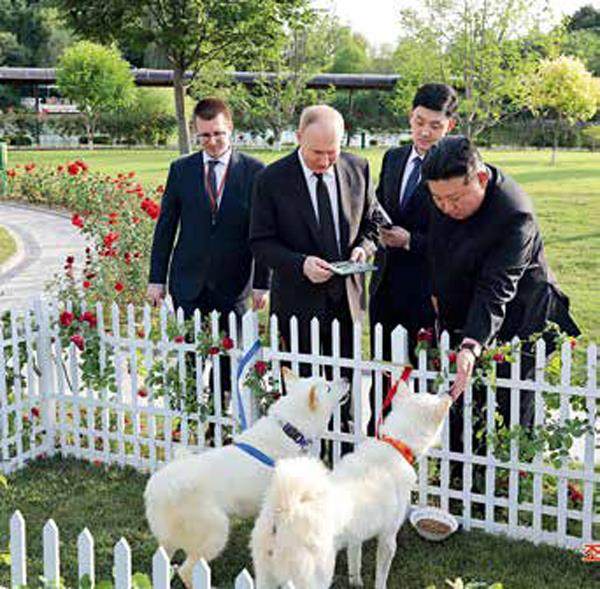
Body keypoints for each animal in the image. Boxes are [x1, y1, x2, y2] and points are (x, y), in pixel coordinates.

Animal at [144, 367, 348, 587]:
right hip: (216, 532)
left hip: (170, 539)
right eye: (328, 386)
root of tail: (160, 487)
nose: (346, 378)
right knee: (187, 570)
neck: (291, 430)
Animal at [251, 379, 452, 589]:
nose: (449, 392)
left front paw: (356, 582)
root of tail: (284, 511)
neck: (395, 444)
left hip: (265, 576)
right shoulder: (388, 538)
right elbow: (381, 577)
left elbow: (355, 560)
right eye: (435, 395)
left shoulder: (356, 536)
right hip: (316, 577)